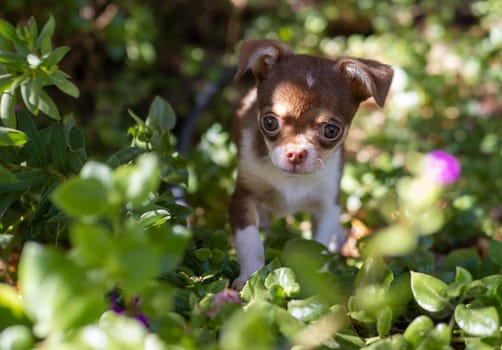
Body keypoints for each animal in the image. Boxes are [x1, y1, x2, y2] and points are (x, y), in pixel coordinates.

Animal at [227, 39, 392, 290]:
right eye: (269, 122)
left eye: (331, 130)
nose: (296, 153)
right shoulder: (242, 197)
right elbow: (250, 242)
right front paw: (250, 279)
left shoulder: (327, 206)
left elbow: (319, 249)